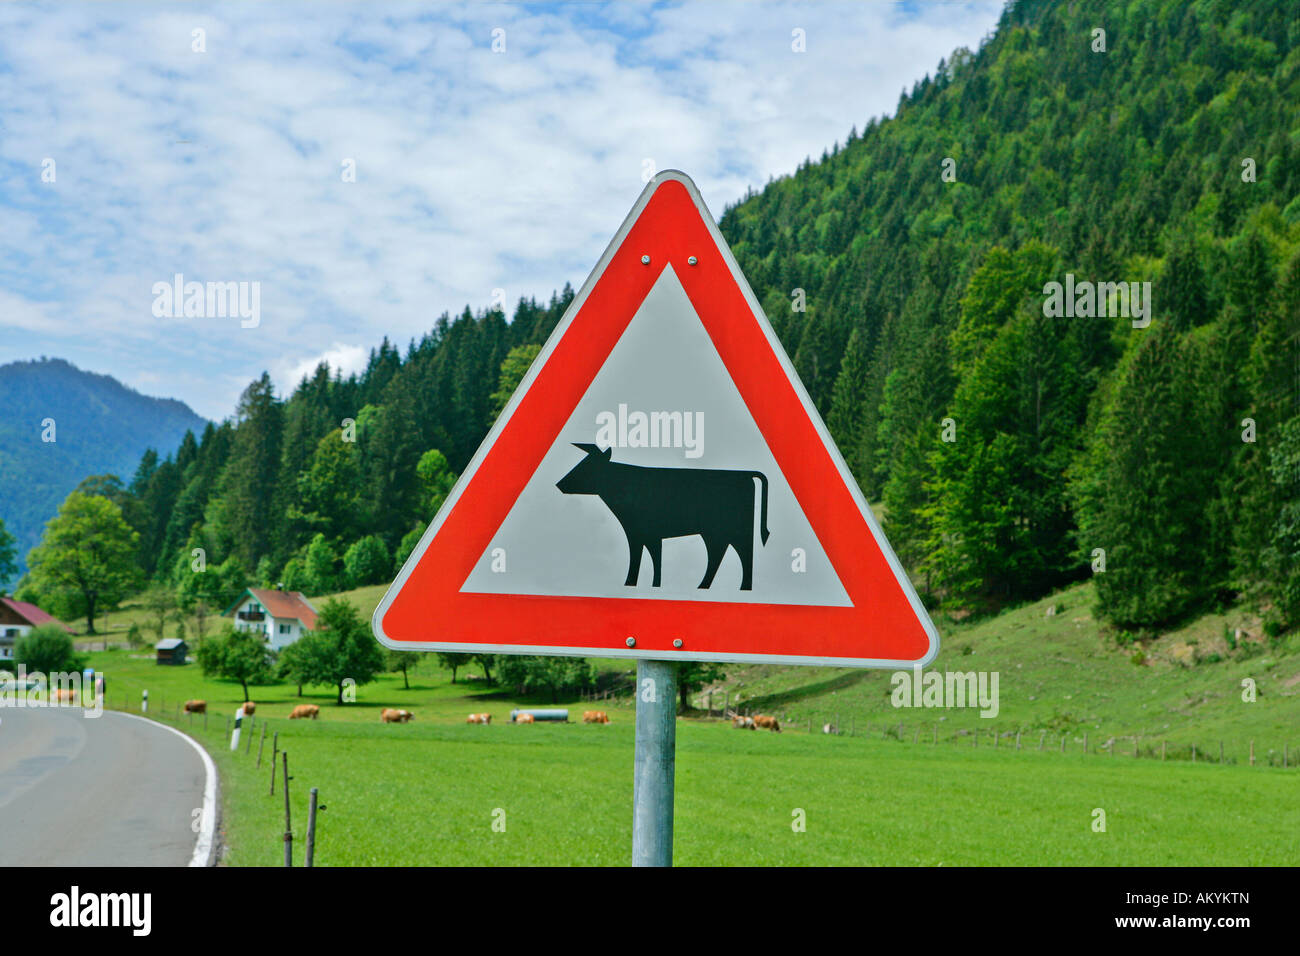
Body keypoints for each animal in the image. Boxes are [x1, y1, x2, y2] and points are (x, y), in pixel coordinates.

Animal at [553, 442, 764, 590]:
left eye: (587, 466)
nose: (559, 484)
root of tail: (747, 475)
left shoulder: (649, 533)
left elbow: (650, 557)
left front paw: (645, 583)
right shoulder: (638, 532)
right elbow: (644, 556)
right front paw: (638, 583)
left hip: (735, 529)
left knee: (744, 552)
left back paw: (741, 586)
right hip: (714, 533)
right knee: (718, 553)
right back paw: (704, 585)